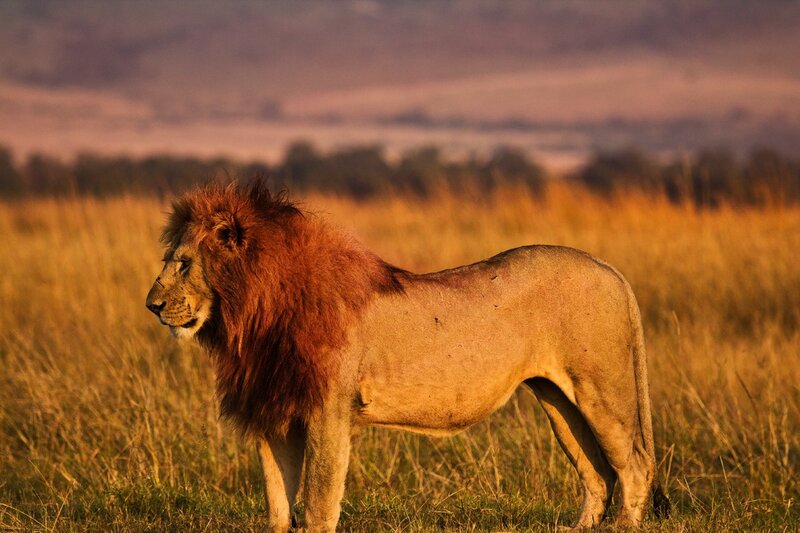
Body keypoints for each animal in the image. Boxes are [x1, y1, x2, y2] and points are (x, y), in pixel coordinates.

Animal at [145, 182, 669, 532]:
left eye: (184, 263)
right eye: (171, 259)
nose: (151, 305)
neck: (255, 311)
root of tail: (610, 269)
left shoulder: (328, 410)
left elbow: (318, 501)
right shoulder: (275, 410)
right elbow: (278, 501)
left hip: (602, 390)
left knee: (634, 464)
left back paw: (625, 525)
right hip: (557, 398)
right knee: (596, 471)